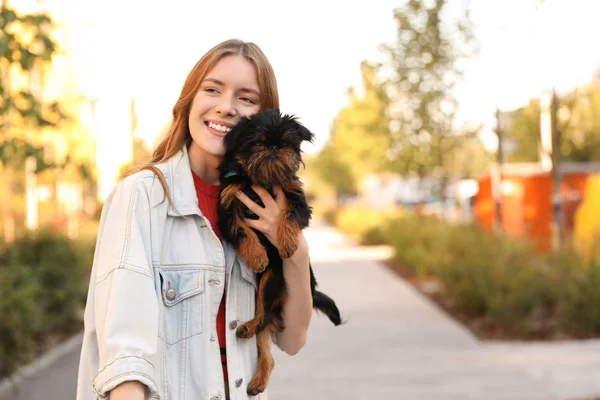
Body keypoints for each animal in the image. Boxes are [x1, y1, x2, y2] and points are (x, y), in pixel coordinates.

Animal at [219, 108, 342, 394]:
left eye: (286, 142)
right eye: (258, 142)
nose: (274, 147)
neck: (261, 180)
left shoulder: (296, 198)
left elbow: (288, 216)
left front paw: (286, 244)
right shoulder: (229, 205)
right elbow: (243, 230)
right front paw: (257, 255)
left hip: (272, 279)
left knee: (264, 317)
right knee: (266, 342)